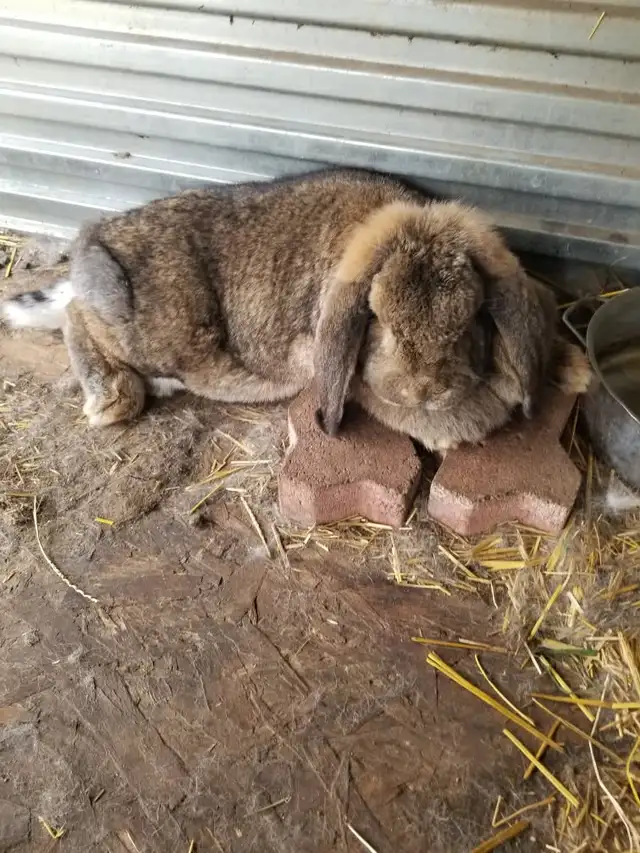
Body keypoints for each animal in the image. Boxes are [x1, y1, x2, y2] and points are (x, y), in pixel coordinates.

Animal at [0, 167, 590, 445]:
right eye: (377, 318)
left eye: (470, 318)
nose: (426, 391)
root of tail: (93, 242)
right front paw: (454, 428)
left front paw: (576, 369)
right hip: (162, 331)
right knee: (76, 319)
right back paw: (113, 400)